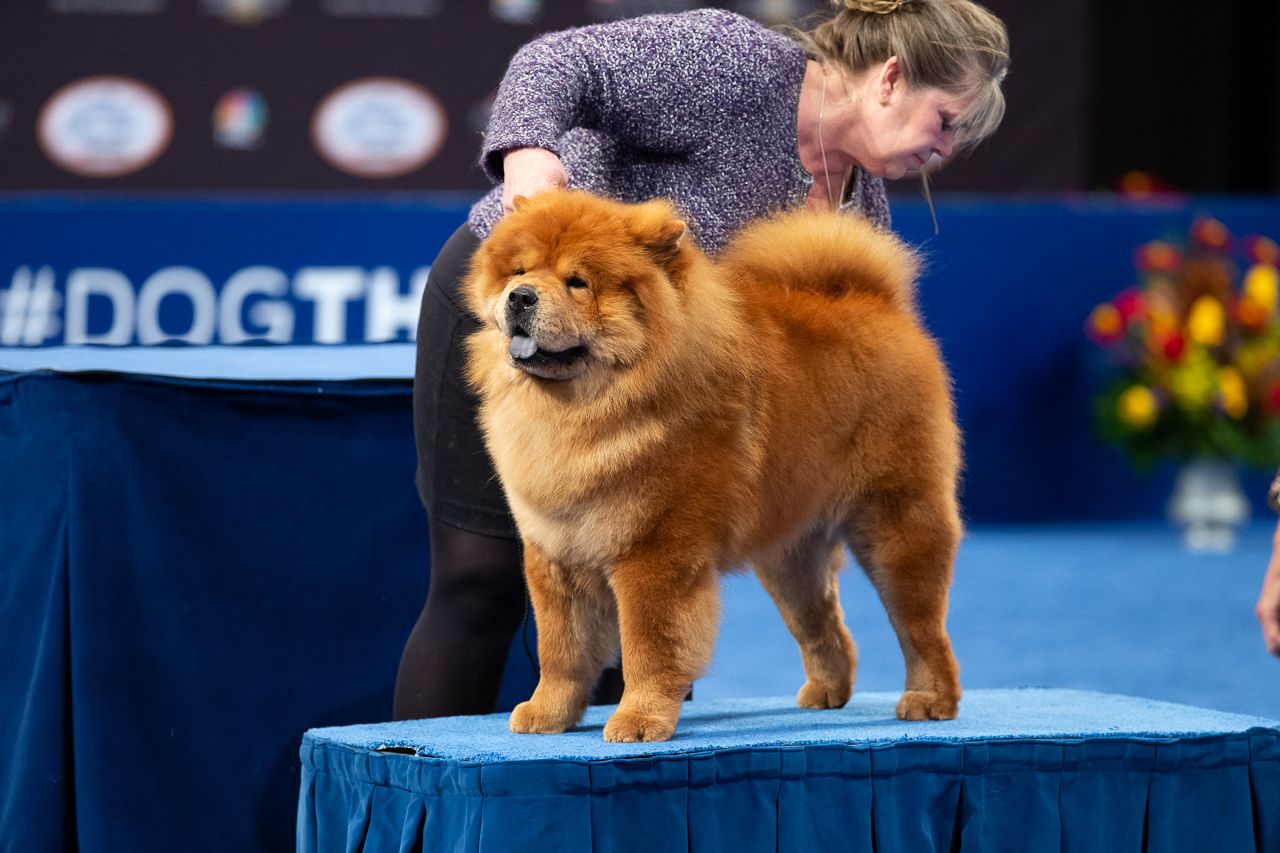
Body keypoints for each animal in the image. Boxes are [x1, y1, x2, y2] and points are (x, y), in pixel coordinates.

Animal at [463, 189, 962, 742]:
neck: (578, 412)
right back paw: (827, 693)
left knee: (922, 627)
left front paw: (638, 721)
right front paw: (547, 714)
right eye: (518, 271)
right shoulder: (555, 555)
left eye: (577, 282)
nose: (521, 297)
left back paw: (930, 700)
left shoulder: (655, 554)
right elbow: (561, 650)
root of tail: (875, 300)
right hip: (789, 555)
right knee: (823, 624)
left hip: (897, 524)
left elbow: (649, 647)